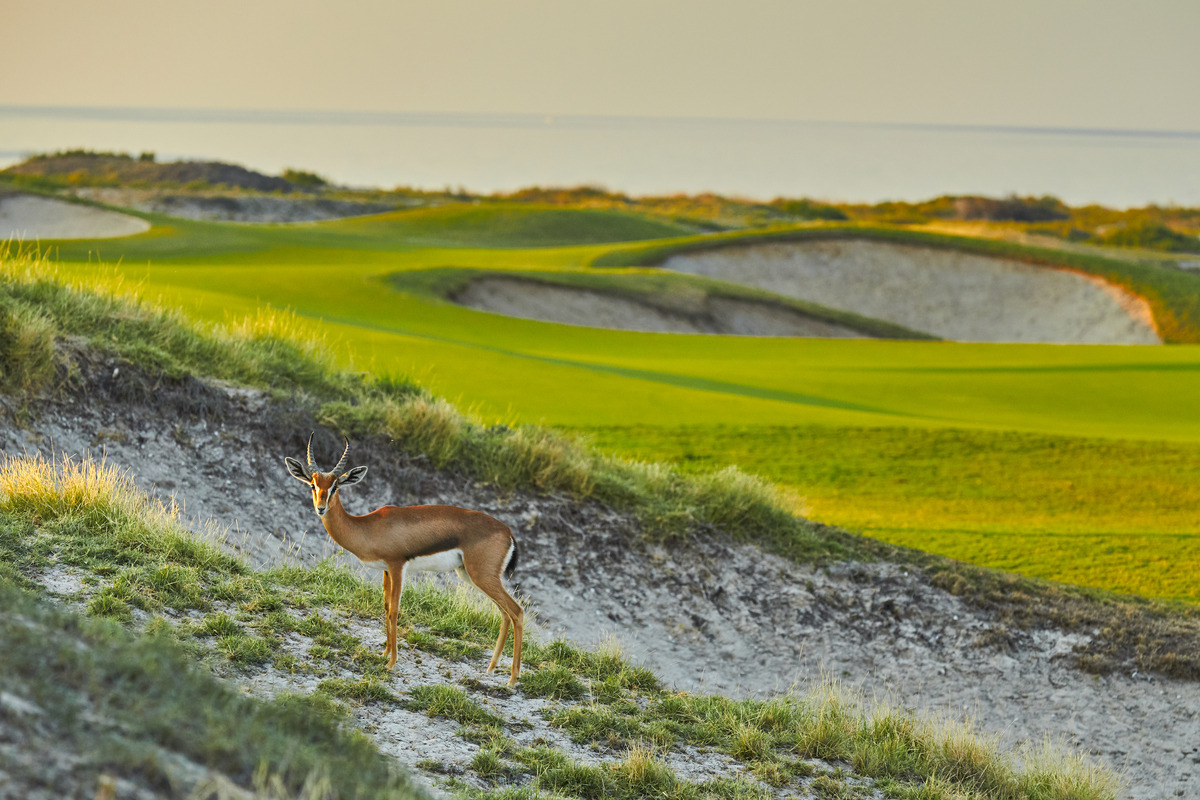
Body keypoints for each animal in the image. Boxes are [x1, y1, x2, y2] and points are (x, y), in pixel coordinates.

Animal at [284, 435, 524, 685]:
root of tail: (507, 532)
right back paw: (491, 668)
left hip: (481, 576)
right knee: (504, 614)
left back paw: (512, 679)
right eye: (313, 485)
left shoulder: (398, 566)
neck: (367, 527)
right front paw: (385, 653)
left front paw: (391, 662)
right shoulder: (386, 570)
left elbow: (395, 610)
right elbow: (385, 606)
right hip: (470, 575)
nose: (320, 508)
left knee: (516, 611)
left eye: (335, 486)